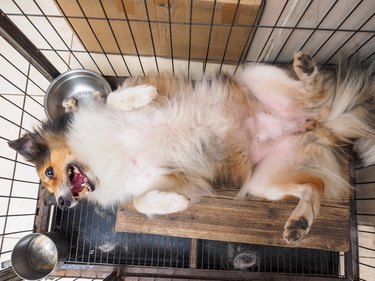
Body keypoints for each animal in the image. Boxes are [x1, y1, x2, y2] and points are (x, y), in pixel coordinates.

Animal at [7, 53, 374, 243]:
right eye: (47, 182)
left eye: (49, 172)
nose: (62, 203)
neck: (97, 160)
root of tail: (315, 126)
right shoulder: (165, 176)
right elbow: (141, 201)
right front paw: (174, 203)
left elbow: (112, 97)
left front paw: (140, 95)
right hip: (264, 181)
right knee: (315, 187)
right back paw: (298, 224)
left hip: (254, 74)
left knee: (314, 95)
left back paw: (307, 69)